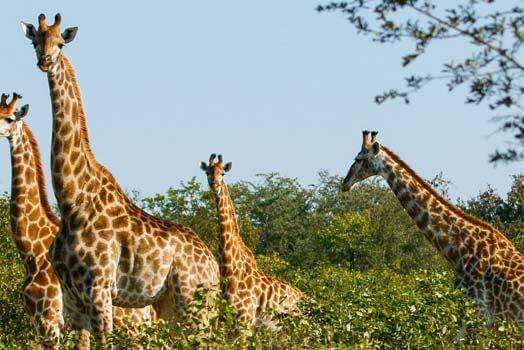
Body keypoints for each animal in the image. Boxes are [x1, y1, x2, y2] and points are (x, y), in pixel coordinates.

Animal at [22, 13, 219, 344]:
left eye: (61, 42)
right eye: (36, 40)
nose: (45, 60)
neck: (72, 201)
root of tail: (214, 266)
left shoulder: (100, 291)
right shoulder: (73, 300)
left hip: (194, 301)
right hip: (170, 305)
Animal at [201, 154, 302, 326]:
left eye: (223, 173)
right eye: (208, 172)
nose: (214, 185)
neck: (230, 270)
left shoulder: (245, 318)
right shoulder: (224, 320)